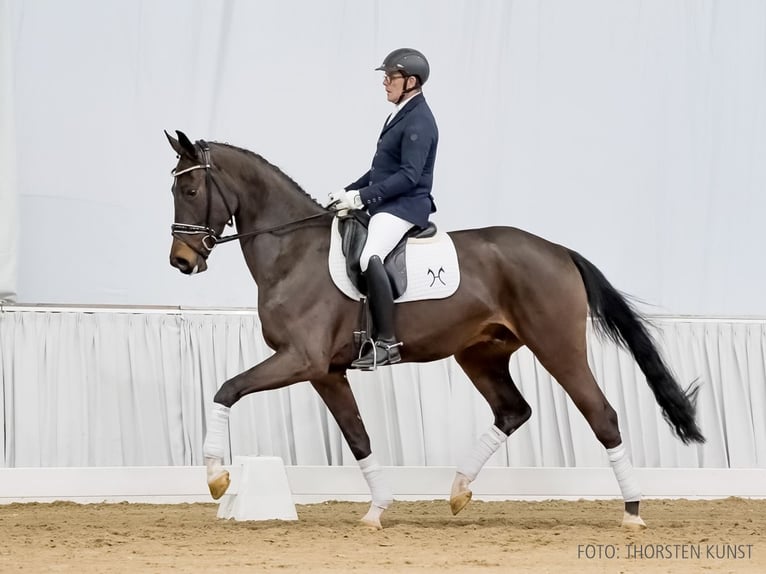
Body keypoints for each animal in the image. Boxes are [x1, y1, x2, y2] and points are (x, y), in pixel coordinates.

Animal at [165, 129, 704, 532]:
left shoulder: (302, 359)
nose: (181, 261)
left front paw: (216, 477)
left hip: (557, 347)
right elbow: (358, 438)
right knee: (513, 410)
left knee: (602, 414)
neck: (293, 253)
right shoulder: (326, 372)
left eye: (189, 191)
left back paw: (632, 512)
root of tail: (557, 250)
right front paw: (377, 509)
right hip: (481, 354)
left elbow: (226, 388)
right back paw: (459, 489)